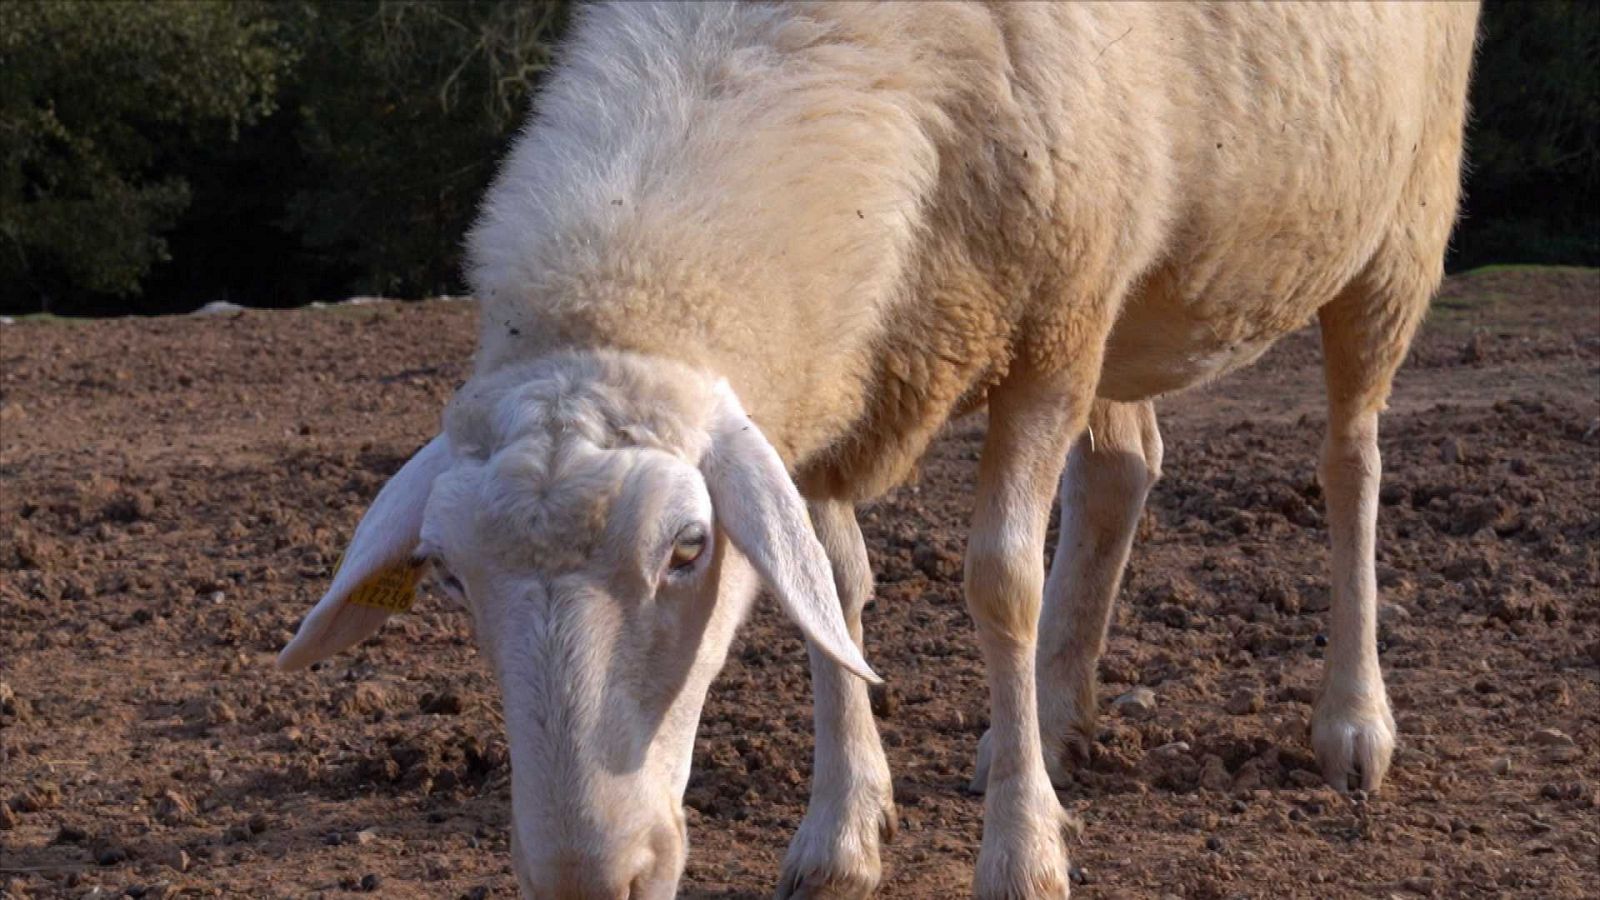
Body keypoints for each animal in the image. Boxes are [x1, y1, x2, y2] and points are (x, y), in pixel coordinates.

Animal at [272, 3, 1472, 890]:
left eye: (687, 551)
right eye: (446, 576)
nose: (586, 881)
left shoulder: (1055, 327)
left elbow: (1000, 584)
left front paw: (1022, 858)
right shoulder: (832, 392)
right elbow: (830, 590)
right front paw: (842, 836)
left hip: (1397, 224)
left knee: (1349, 461)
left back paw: (1351, 722)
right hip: (1130, 312)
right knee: (1125, 467)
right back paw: (1052, 721)